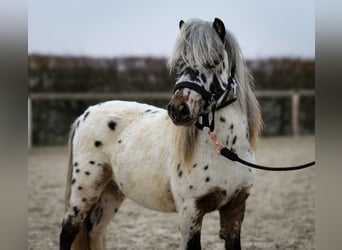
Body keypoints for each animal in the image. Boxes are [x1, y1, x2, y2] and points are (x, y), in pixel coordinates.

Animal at [59, 17, 262, 250]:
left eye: (214, 60)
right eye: (180, 63)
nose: (178, 109)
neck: (226, 151)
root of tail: (86, 114)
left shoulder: (235, 209)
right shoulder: (190, 212)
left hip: (111, 193)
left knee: (94, 232)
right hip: (84, 190)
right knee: (68, 230)